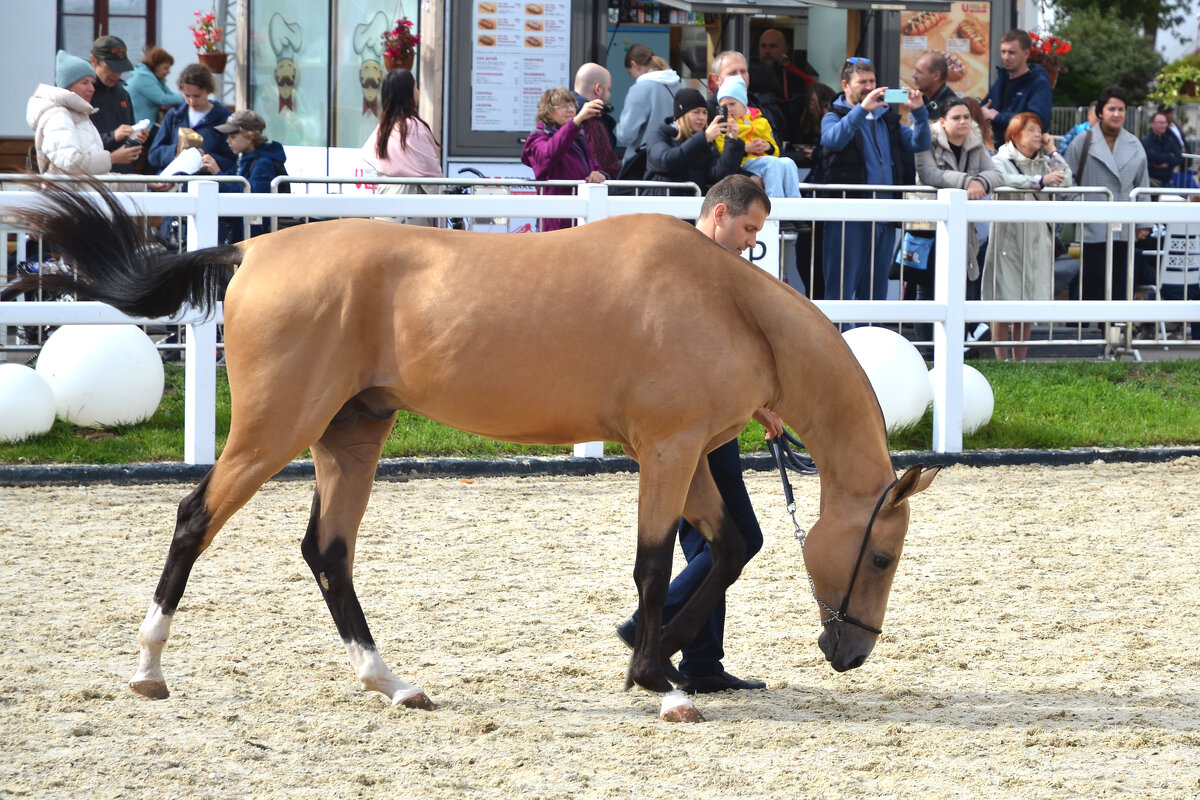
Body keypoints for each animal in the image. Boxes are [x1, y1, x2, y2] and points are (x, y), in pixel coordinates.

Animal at [4, 183, 940, 724]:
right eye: (883, 556)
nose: (851, 652)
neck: (727, 302)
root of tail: (250, 246)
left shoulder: (693, 456)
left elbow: (731, 545)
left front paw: (654, 657)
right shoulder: (669, 453)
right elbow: (654, 563)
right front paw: (660, 678)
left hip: (353, 432)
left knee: (328, 552)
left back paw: (394, 683)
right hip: (276, 429)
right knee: (196, 517)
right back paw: (148, 669)